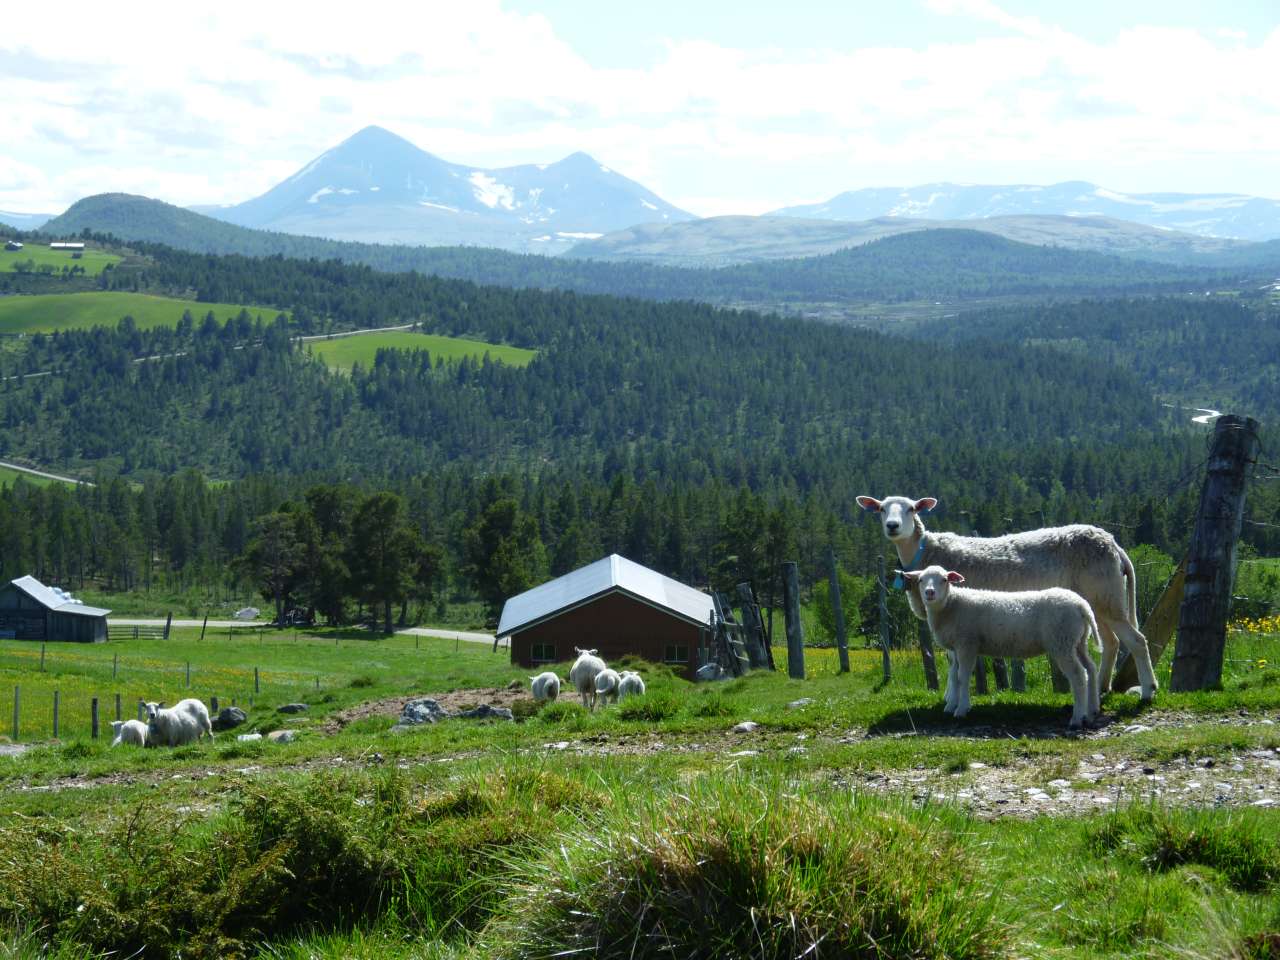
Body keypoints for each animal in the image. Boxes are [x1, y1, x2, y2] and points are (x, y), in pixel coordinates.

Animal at [855, 491, 1157, 701]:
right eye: (881, 509)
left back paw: (1147, 690)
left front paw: (951, 698)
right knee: (1112, 642)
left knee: (1137, 641)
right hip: (1096, 600)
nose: (892, 526)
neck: (923, 553)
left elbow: (953, 662)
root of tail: (1114, 544)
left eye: (911, 509)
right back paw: (1103, 687)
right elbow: (953, 662)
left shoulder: (952, 611)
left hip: (1105, 593)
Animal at [901, 563, 1100, 727]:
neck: (950, 605)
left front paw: (962, 709)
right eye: (921, 580)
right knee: (1091, 668)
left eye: (944, 580)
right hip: (1078, 641)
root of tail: (1082, 605)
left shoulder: (967, 643)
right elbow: (954, 676)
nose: (930, 593)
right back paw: (1091, 711)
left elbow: (962, 677)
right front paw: (951, 706)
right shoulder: (957, 647)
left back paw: (1077, 718)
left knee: (1079, 675)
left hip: (1062, 641)